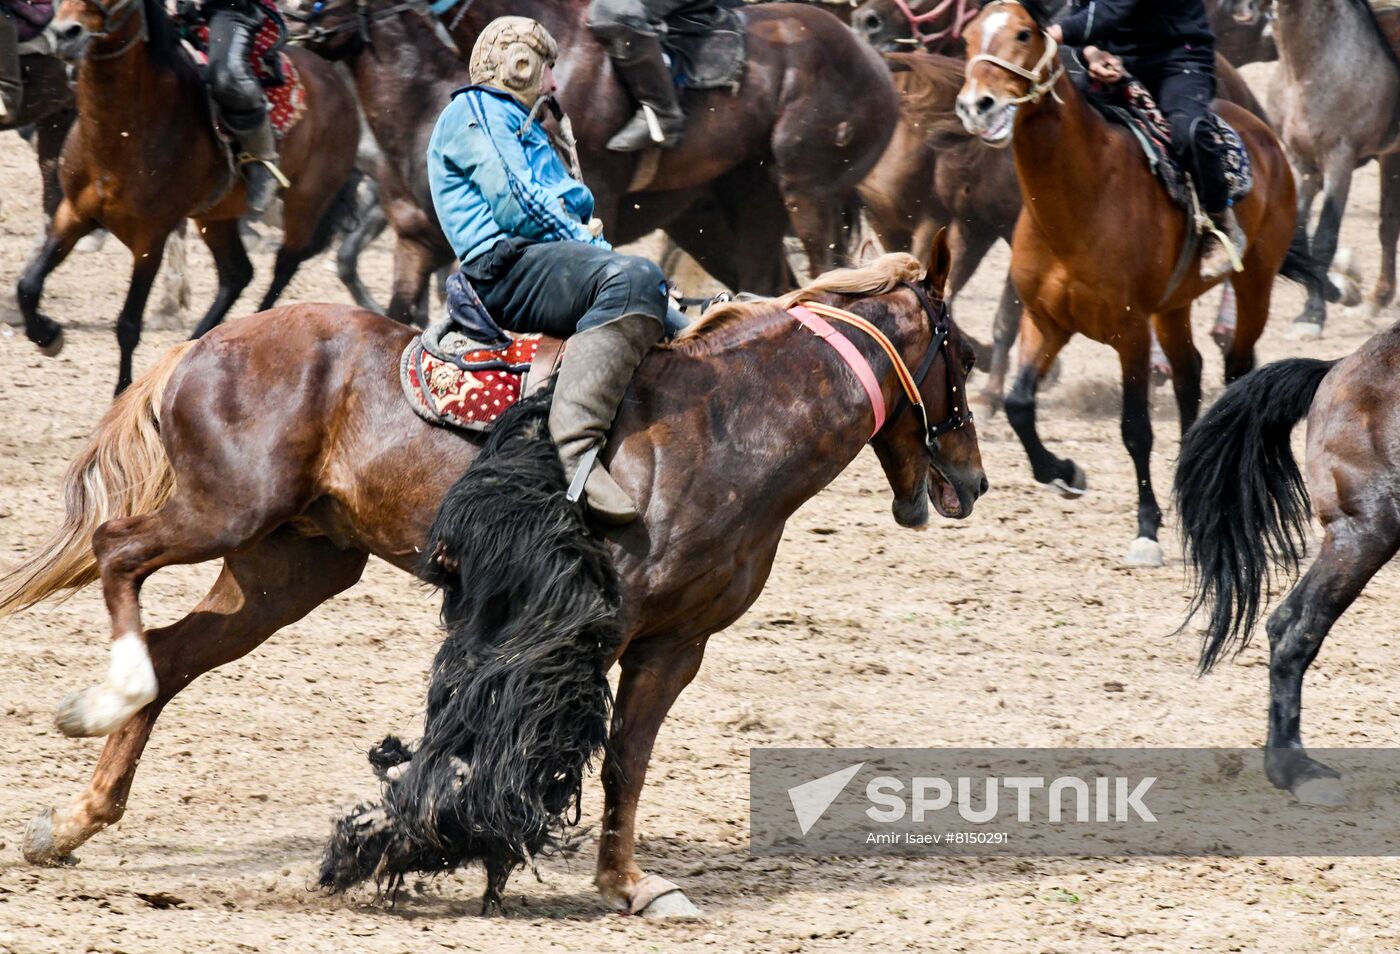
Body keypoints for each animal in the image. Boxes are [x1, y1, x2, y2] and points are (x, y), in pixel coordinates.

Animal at [0, 242, 985, 913]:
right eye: (968, 358)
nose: (971, 482)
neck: (728, 419)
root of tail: (203, 346)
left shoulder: (676, 642)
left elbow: (627, 758)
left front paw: (627, 884)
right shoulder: (583, 626)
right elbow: (526, 730)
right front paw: (423, 845)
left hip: (284, 574)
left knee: (173, 658)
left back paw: (74, 819)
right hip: (225, 513)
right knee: (121, 557)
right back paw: (105, 697)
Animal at [19, 0, 358, 392]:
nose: (65, 33)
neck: (122, 131)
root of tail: (335, 79)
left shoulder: (150, 238)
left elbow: (128, 325)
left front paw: (123, 392)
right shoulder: (74, 213)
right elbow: (28, 285)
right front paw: (47, 335)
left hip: (306, 202)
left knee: (285, 264)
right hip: (215, 217)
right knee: (236, 273)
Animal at [952, 0, 1321, 565]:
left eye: (1023, 34)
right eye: (968, 38)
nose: (977, 106)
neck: (1083, 194)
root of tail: (1263, 136)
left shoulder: (1129, 332)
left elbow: (1135, 430)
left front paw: (1146, 529)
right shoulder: (1046, 321)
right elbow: (1019, 405)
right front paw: (1065, 473)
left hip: (1253, 285)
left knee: (1236, 370)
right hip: (1173, 307)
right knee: (1190, 373)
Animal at [1226, 0, 1400, 334]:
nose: (1235, 6)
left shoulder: (1339, 161)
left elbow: (1324, 238)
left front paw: (1314, 314)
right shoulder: (1301, 165)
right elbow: (1297, 233)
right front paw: (1330, 294)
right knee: (1389, 227)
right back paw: (1376, 300)